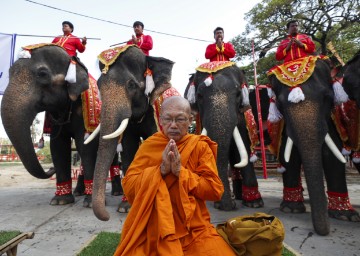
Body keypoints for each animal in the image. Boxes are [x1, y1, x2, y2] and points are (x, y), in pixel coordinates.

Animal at [0, 44, 121, 207]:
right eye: (9, 73)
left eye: (42, 74)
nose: (51, 169)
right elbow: (58, 146)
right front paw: (60, 201)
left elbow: (86, 146)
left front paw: (89, 204)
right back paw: (78, 192)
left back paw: (116, 193)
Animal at [90, 44, 177, 220]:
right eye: (99, 85)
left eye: (131, 85)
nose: (106, 216)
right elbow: (128, 149)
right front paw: (125, 208)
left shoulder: (155, 112)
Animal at [184, 61, 262, 210]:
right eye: (199, 96)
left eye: (238, 94)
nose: (226, 206)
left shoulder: (241, 115)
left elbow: (244, 142)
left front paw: (254, 203)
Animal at [268, 55, 360, 235]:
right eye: (280, 103)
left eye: (327, 97)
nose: (324, 232)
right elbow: (289, 156)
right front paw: (291, 209)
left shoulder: (330, 118)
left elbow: (332, 155)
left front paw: (345, 216)